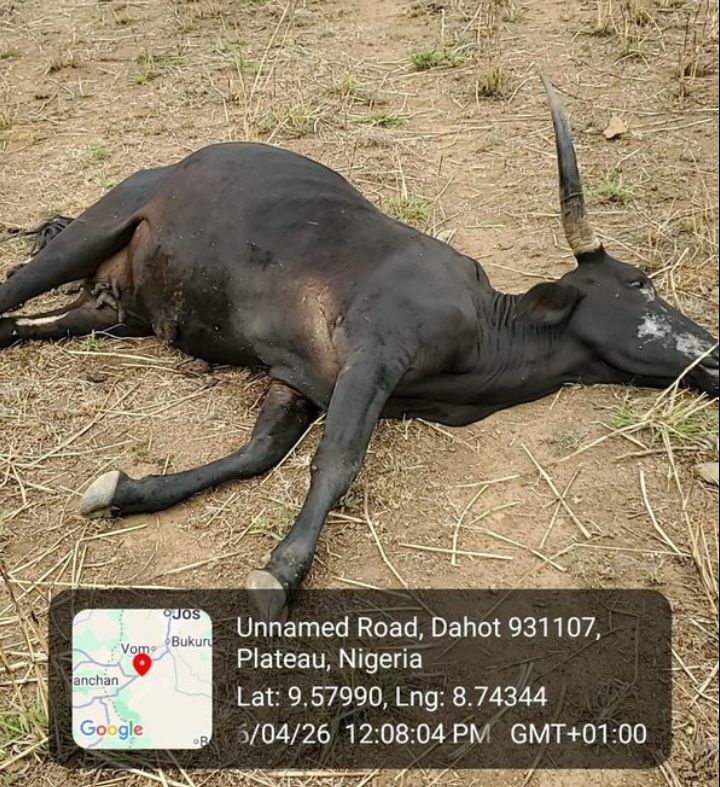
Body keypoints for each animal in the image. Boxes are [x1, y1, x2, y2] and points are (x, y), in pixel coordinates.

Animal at [1, 76, 717, 620]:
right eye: (639, 282)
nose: (712, 353)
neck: (486, 332)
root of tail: (172, 163)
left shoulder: (298, 379)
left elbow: (256, 455)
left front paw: (126, 491)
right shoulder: (374, 356)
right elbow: (337, 462)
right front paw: (281, 573)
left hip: (112, 312)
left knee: (18, 325)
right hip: (96, 228)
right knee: (13, 290)